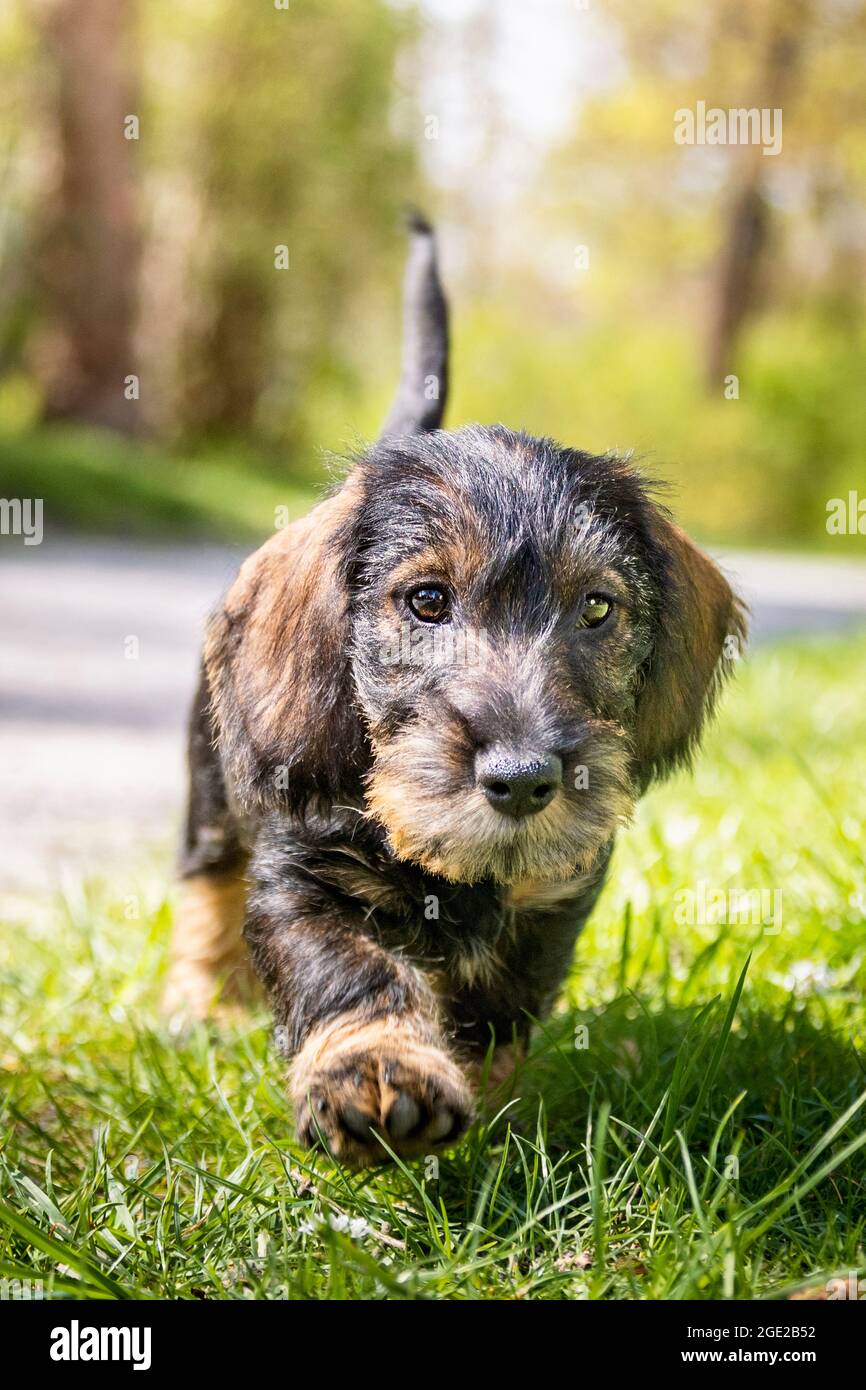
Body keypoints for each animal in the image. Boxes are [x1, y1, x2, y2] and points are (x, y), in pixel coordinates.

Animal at [166, 216, 750, 1167]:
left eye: (597, 607)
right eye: (427, 601)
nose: (521, 780)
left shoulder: (550, 904)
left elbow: (495, 1014)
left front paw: (491, 1119)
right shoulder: (301, 879)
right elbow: (351, 972)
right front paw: (376, 1073)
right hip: (215, 791)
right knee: (205, 885)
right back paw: (200, 1003)